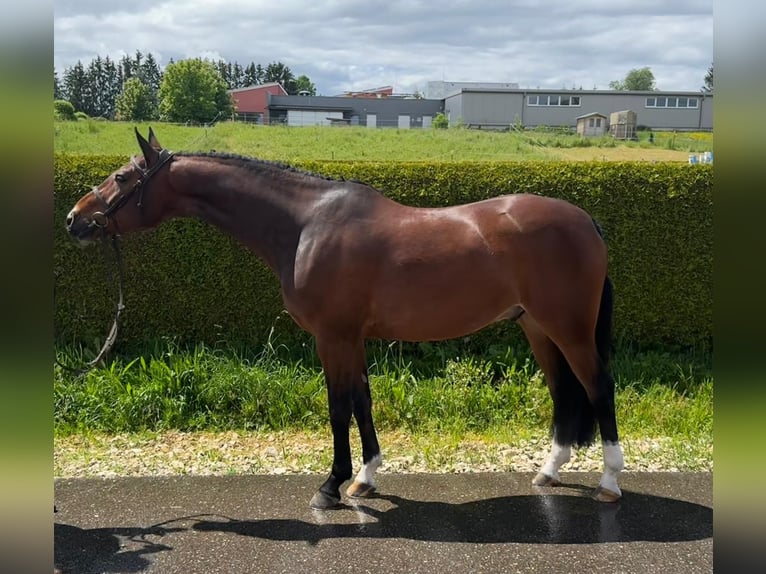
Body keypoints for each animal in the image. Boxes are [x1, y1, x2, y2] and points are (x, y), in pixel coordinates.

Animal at [63, 129, 620, 508]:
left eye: (121, 177)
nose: (74, 219)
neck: (306, 225)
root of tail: (586, 221)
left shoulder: (331, 337)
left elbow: (336, 407)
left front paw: (331, 485)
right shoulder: (353, 339)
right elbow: (361, 402)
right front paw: (365, 479)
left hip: (568, 328)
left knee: (597, 387)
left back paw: (611, 481)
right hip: (536, 327)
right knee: (563, 391)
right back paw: (549, 471)